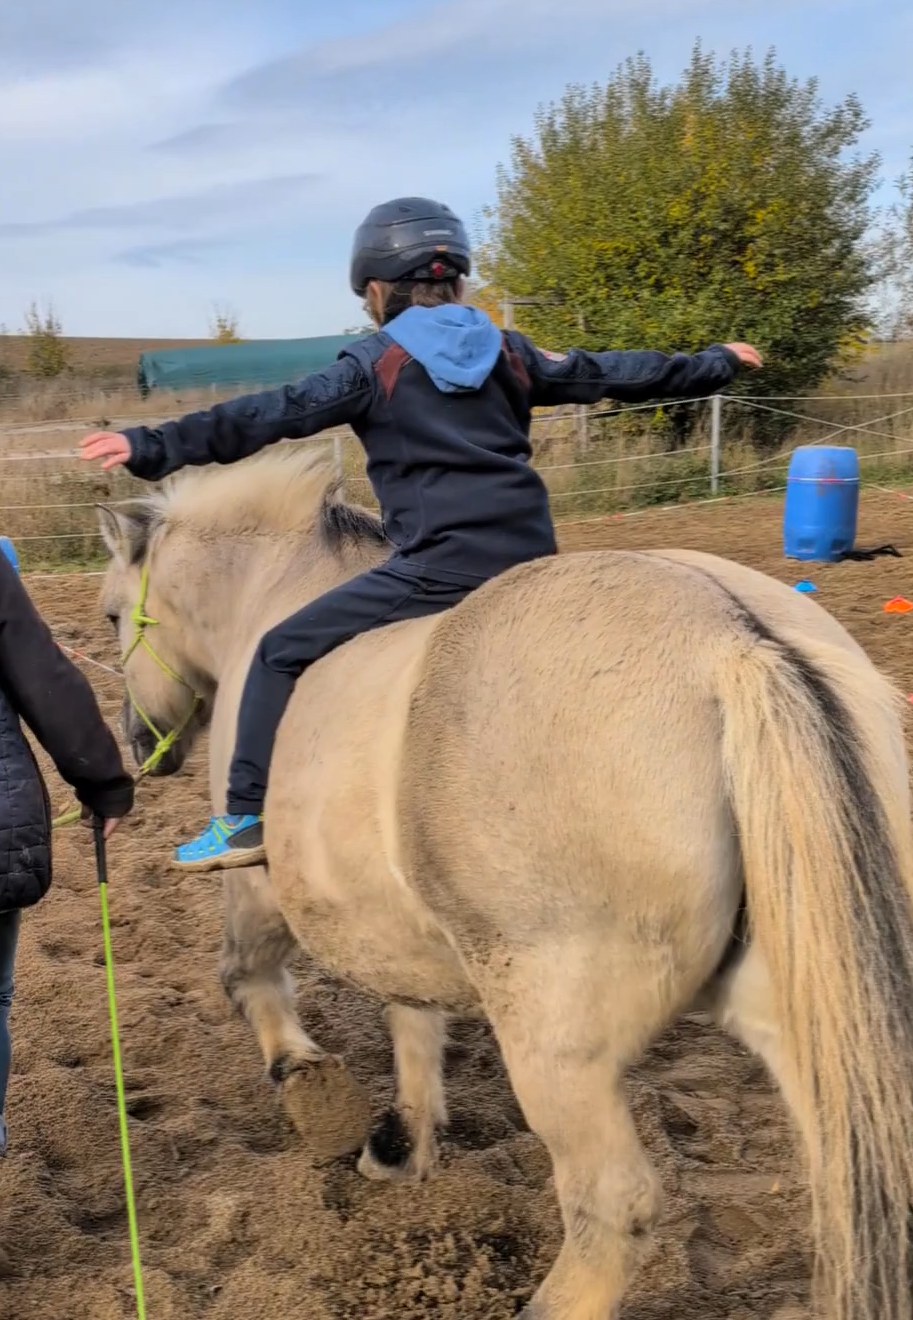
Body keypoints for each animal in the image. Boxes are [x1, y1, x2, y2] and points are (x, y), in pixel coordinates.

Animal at [96, 445, 913, 1320]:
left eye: (111, 617)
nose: (139, 745)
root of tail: (730, 640)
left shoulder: (266, 888)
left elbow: (250, 974)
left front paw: (302, 1077)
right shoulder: (393, 921)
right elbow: (411, 1018)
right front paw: (403, 1142)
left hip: (559, 1042)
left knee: (611, 1201)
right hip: (810, 1012)